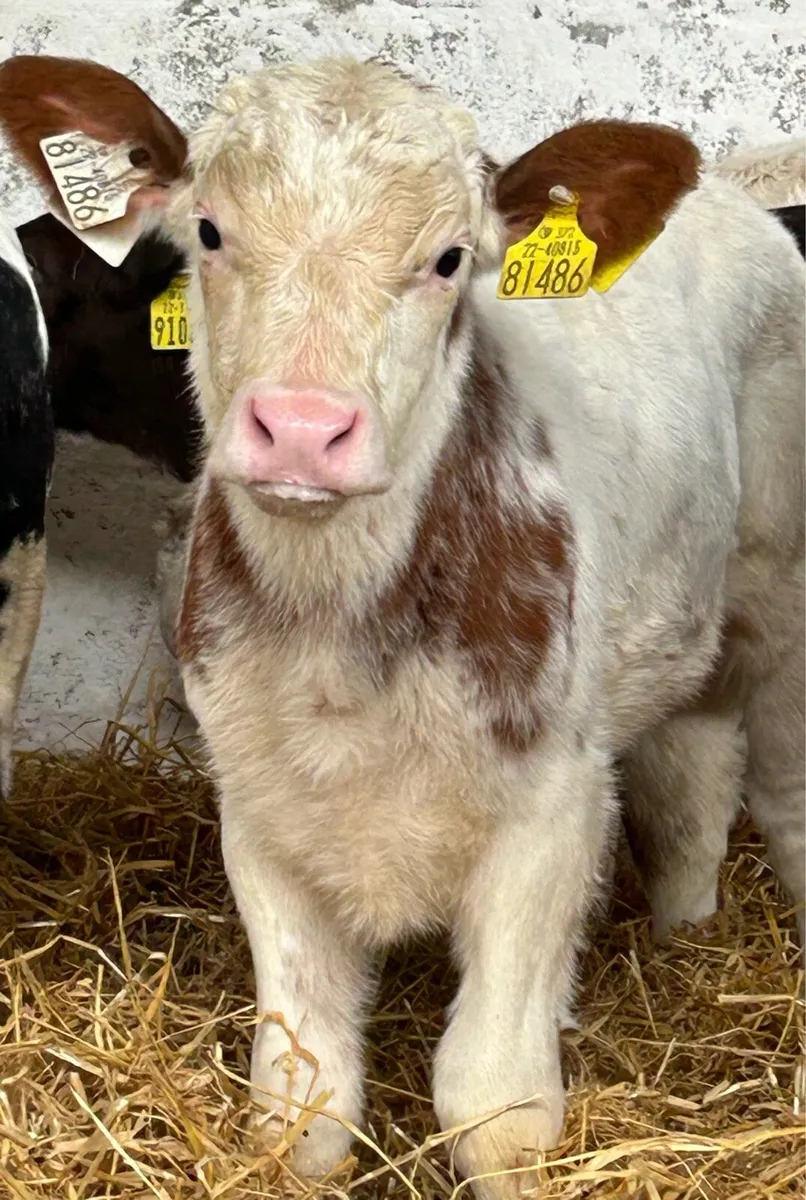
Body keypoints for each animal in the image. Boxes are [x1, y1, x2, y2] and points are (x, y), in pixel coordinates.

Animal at [3, 53, 805, 1199]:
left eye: (449, 259)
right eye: (209, 231)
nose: (301, 427)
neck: (343, 644)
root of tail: (728, 192)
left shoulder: (552, 808)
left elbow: (493, 1104)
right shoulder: (260, 807)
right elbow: (302, 1102)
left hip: (777, 589)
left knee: (780, 789)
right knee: (692, 777)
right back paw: (683, 936)